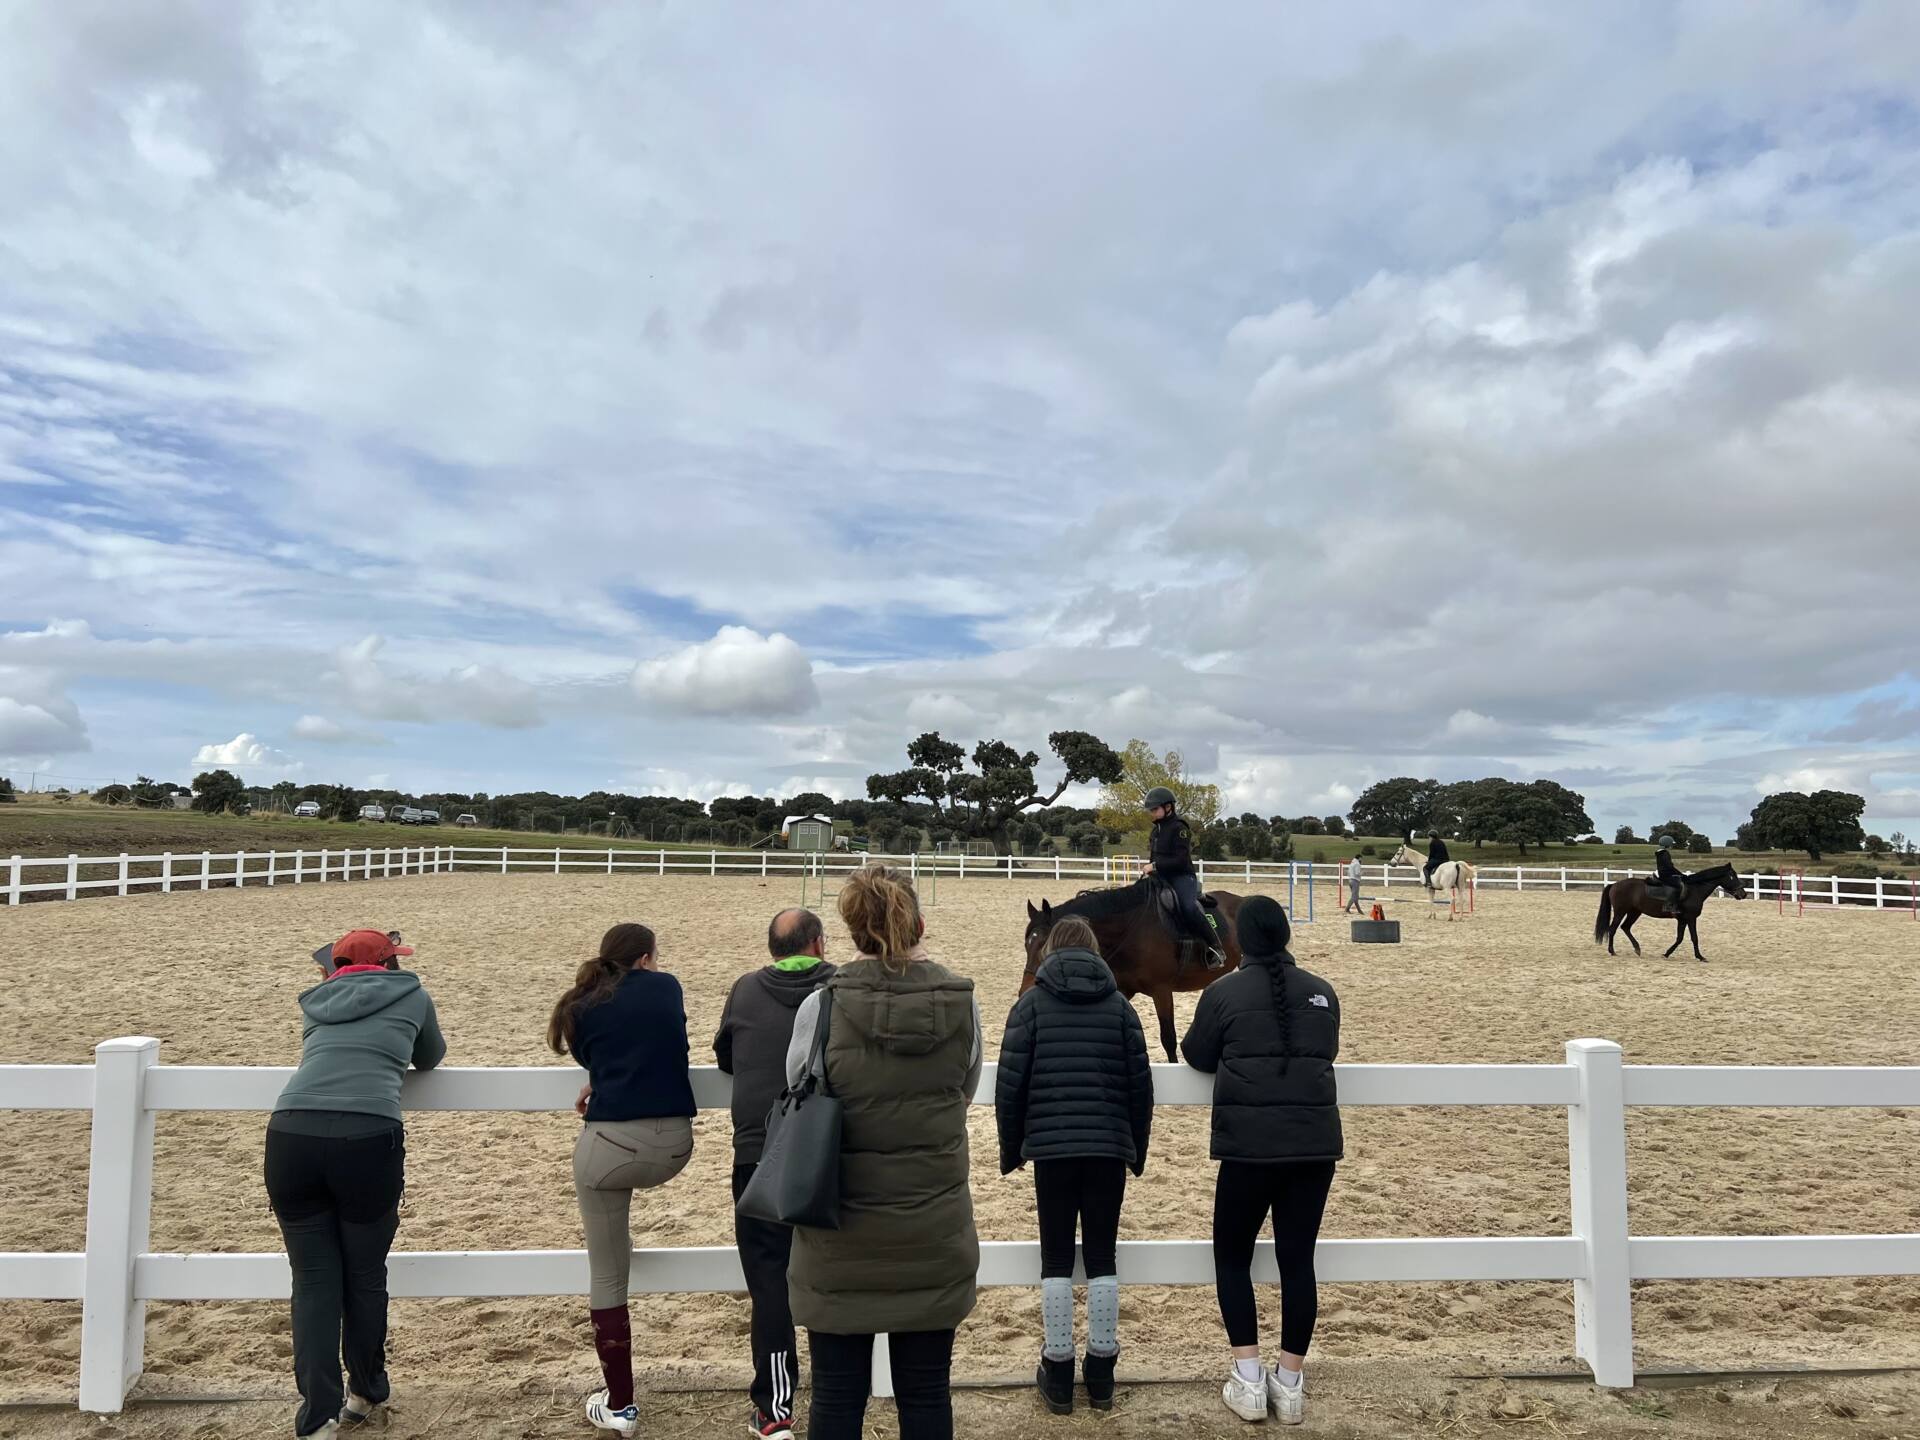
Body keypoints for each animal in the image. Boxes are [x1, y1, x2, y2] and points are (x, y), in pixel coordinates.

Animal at [1021, 875, 1244, 1067]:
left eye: (1046, 946)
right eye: (1026, 944)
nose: (1025, 991)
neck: (1130, 930)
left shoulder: (1161, 991)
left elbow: (1168, 1038)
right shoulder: (1125, 990)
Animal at [1597, 864, 1751, 963]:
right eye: (1732, 876)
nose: (1743, 894)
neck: (1694, 890)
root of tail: (1614, 884)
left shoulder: (1683, 920)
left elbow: (1680, 938)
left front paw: (1667, 953)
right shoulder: (1690, 918)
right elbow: (1694, 938)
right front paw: (1700, 957)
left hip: (1634, 912)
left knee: (1625, 927)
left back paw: (1637, 949)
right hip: (1621, 911)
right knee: (1613, 928)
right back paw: (1612, 951)